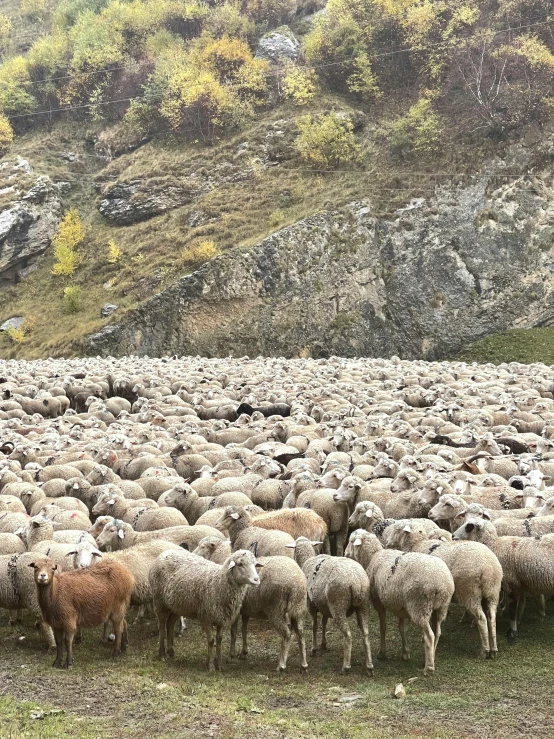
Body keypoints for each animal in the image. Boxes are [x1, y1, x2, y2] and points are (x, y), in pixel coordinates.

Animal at [286, 536, 374, 676]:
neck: (306, 559)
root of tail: (357, 582)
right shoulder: (324, 606)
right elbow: (324, 622)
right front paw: (323, 644)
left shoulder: (310, 604)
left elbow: (315, 626)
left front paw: (314, 649)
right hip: (363, 605)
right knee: (366, 634)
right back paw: (369, 666)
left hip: (338, 605)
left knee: (348, 635)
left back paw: (345, 666)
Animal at [344, 532, 452, 676]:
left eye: (351, 541)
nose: (345, 553)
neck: (372, 556)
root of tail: (441, 584)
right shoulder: (400, 605)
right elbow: (401, 628)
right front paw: (405, 653)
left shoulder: (378, 601)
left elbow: (383, 627)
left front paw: (382, 653)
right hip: (440, 608)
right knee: (438, 632)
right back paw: (431, 657)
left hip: (419, 607)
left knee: (429, 636)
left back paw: (428, 668)